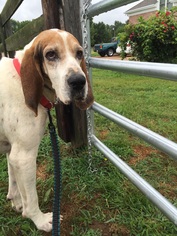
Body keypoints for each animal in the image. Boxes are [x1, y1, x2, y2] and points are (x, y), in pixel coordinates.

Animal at [0, 28, 94, 231]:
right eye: (51, 54)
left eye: (79, 53)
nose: (78, 81)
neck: (21, 80)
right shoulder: (24, 157)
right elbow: (31, 198)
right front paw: (40, 220)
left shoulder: (12, 152)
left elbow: (13, 181)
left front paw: (16, 202)